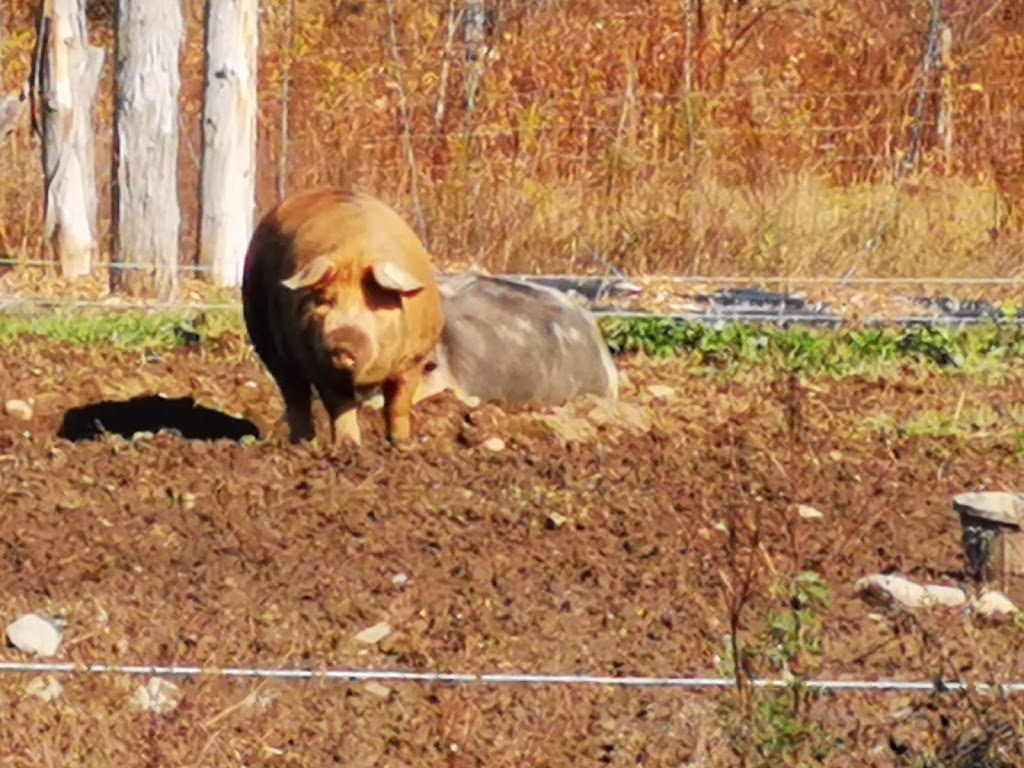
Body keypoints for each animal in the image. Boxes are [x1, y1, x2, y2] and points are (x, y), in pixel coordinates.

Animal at [243, 187, 448, 448]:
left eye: (375, 305)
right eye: (324, 302)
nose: (344, 340)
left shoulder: (415, 357)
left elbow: (398, 403)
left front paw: (402, 446)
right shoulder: (320, 365)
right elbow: (341, 408)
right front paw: (349, 447)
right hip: (266, 342)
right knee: (295, 395)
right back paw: (304, 445)